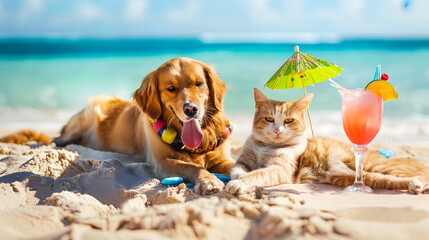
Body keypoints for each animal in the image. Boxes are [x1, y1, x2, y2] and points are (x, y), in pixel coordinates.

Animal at [1, 57, 232, 195]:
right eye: (171, 88)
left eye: (198, 84)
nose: (191, 109)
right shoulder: (161, 162)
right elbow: (192, 166)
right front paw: (209, 180)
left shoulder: (221, 157)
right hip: (80, 121)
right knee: (54, 141)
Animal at [224, 88, 428, 195]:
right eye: (268, 119)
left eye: (288, 121)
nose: (277, 130)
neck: (266, 147)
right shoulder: (242, 160)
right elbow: (237, 170)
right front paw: (239, 177)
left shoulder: (281, 169)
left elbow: (258, 174)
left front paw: (241, 183)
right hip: (347, 176)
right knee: (384, 180)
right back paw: (414, 185)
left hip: (374, 165)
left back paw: (416, 183)